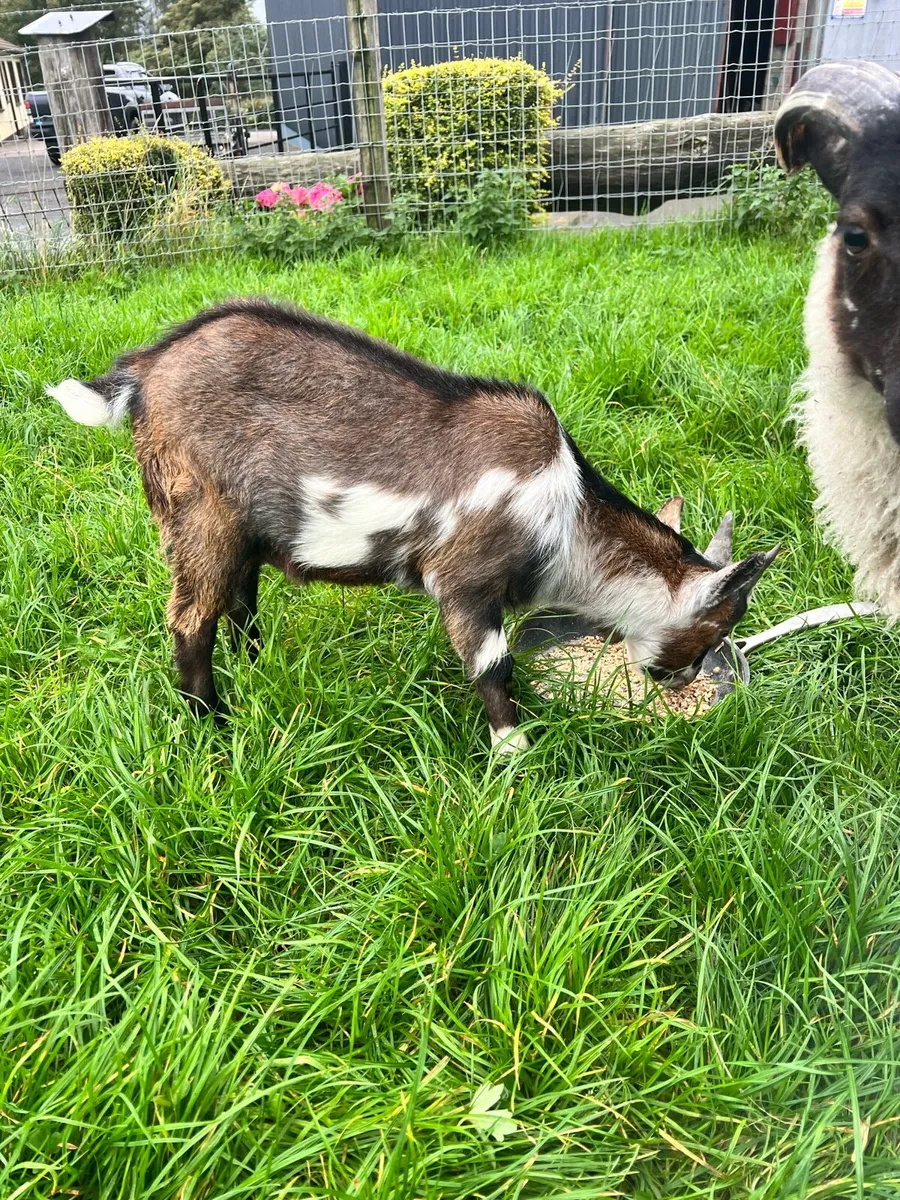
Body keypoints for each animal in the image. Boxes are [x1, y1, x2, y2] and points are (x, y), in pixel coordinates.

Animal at [48, 299, 778, 750]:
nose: (688, 680)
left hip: (243, 527)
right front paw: (515, 752)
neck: (566, 516)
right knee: (191, 617)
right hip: (198, 510)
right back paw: (210, 724)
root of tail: (143, 371)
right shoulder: (465, 581)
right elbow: (492, 667)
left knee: (240, 598)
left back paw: (257, 669)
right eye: (717, 627)